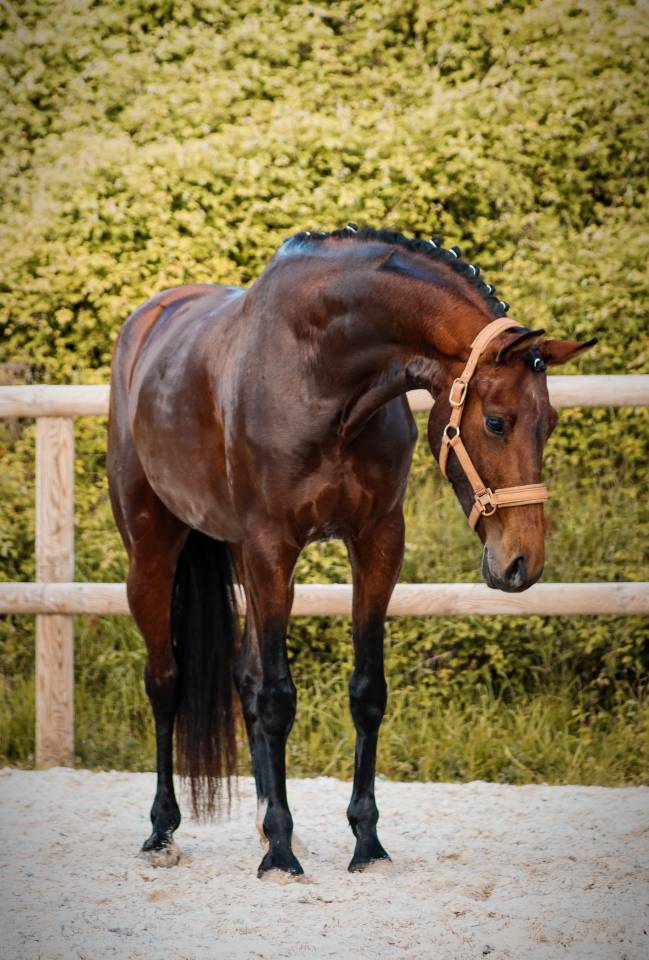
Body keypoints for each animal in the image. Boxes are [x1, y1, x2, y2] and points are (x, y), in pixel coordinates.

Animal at [107, 226, 596, 877]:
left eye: (551, 422)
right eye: (496, 422)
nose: (523, 563)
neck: (321, 375)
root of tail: (147, 322)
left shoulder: (378, 541)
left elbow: (365, 692)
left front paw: (365, 841)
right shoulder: (273, 545)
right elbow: (278, 697)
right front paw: (282, 853)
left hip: (239, 554)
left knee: (242, 676)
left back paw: (258, 823)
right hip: (153, 549)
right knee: (165, 681)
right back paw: (164, 831)